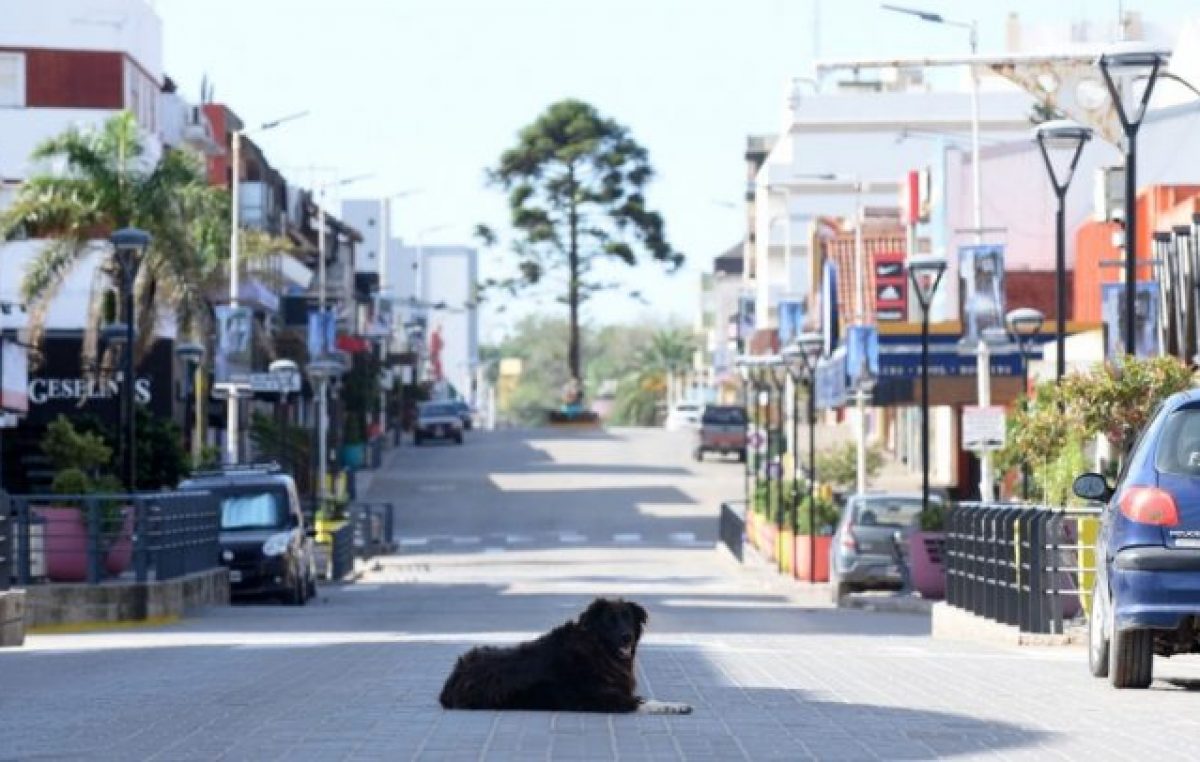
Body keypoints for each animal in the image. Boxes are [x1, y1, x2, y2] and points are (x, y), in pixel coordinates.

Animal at [439, 595, 696, 715]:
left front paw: (678, 704)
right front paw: (673, 707)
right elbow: (641, 703)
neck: (597, 650)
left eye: (627, 618)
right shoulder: (601, 698)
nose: (627, 637)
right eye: (610, 620)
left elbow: (649, 698)